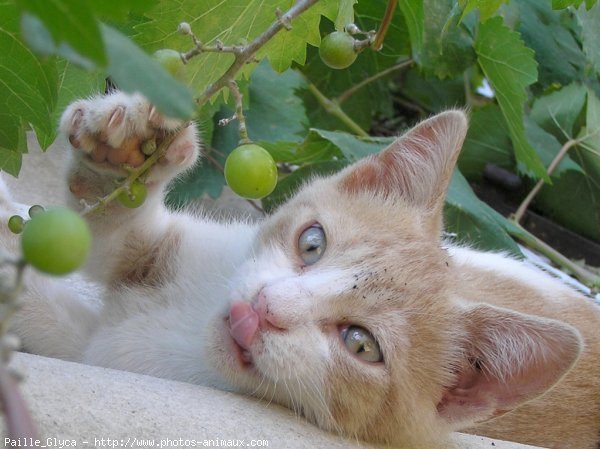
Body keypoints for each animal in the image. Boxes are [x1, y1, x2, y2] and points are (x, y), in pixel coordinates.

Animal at [2, 92, 596, 448]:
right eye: (312, 243)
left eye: (361, 344)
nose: (265, 308)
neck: (190, 329)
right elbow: (111, 239)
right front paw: (117, 154)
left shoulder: (111, 358)